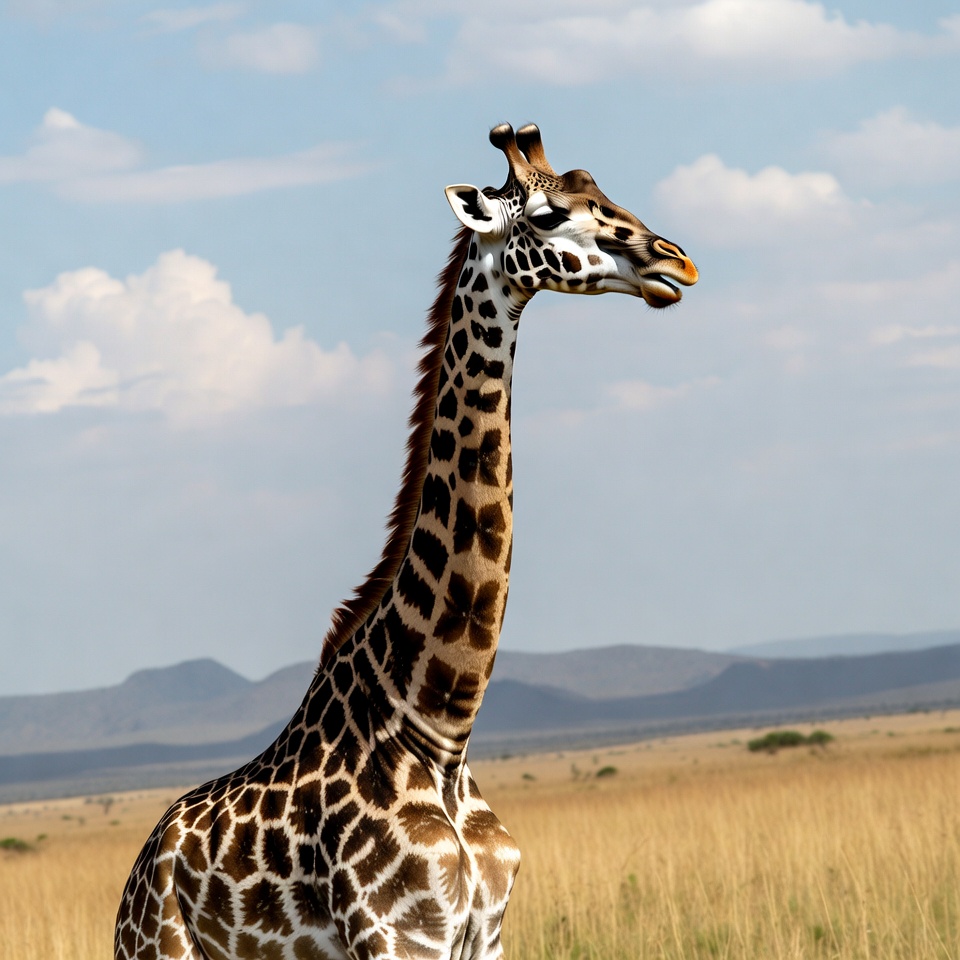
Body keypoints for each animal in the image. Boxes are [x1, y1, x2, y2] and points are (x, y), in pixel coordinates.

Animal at [114, 122, 698, 960]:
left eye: (604, 191)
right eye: (549, 216)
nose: (676, 261)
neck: (441, 732)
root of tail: (136, 873)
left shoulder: (483, 935)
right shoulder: (395, 935)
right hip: (161, 949)